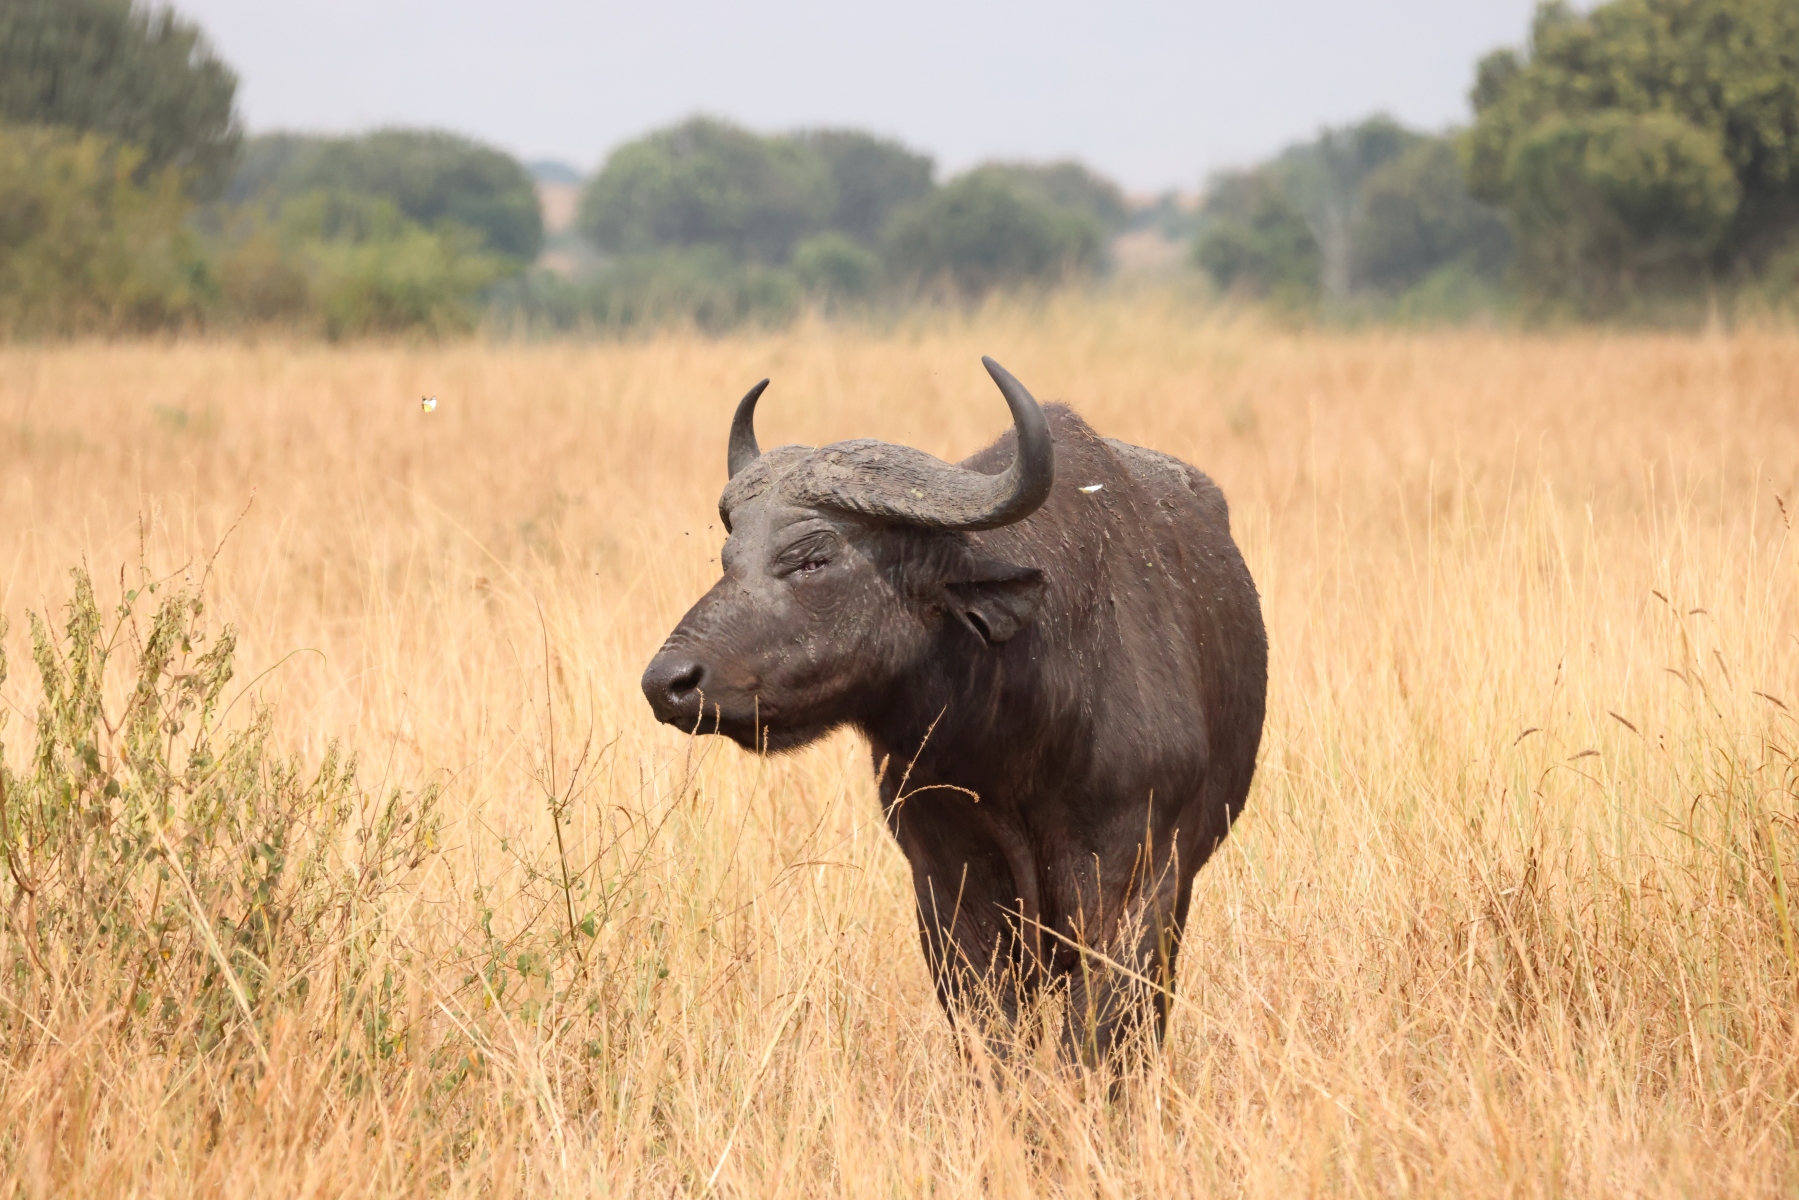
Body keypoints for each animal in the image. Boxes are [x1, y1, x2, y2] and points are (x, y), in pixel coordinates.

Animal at [642, 359, 1266, 1064]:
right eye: (728, 560)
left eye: (812, 557)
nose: (668, 682)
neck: (1018, 745)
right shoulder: (946, 891)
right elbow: (994, 1040)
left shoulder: (1136, 888)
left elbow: (1098, 1039)